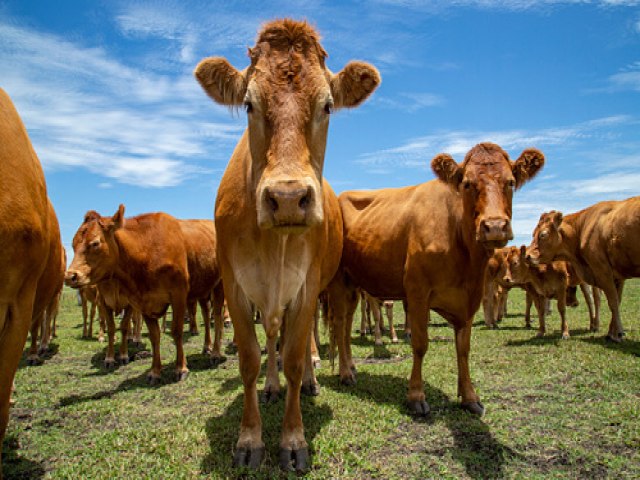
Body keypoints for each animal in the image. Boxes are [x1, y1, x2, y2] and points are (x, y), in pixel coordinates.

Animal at [192, 19, 378, 472]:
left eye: (327, 105)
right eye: (248, 104)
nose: (289, 198)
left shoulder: (307, 287)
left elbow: (293, 357)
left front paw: (293, 440)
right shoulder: (235, 287)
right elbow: (250, 359)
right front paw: (249, 439)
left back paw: (310, 380)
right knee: (272, 339)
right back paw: (272, 387)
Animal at [328, 142, 544, 416]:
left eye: (511, 182)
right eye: (467, 184)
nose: (494, 226)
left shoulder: (469, 298)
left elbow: (463, 348)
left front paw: (469, 397)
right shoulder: (417, 292)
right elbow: (420, 344)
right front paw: (416, 396)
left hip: (354, 283)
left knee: (346, 324)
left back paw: (351, 367)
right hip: (338, 281)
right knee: (339, 324)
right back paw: (345, 373)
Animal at [524, 198, 640, 342]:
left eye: (543, 234)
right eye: (533, 233)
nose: (527, 256)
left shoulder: (603, 272)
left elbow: (613, 303)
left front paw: (618, 333)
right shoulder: (617, 276)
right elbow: (616, 302)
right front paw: (612, 333)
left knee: (594, 299)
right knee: (591, 300)